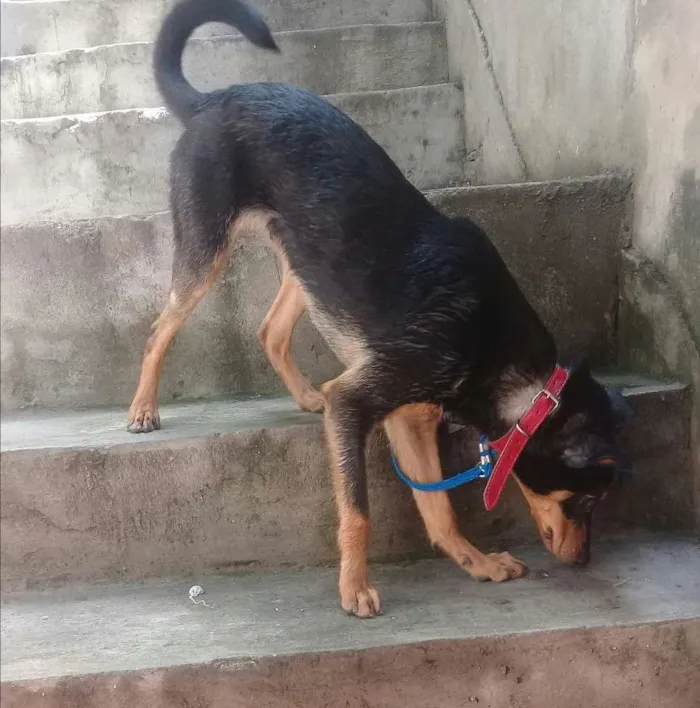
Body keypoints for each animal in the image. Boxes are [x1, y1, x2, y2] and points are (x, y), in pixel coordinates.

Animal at [129, 0, 632, 616]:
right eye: (587, 502)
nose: (583, 562)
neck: (527, 388)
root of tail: (210, 99)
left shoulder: (407, 419)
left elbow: (438, 510)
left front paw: (477, 563)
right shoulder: (359, 404)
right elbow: (359, 511)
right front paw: (354, 587)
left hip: (307, 263)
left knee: (270, 331)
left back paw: (306, 396)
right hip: (207, 248)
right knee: (160, 329)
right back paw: (143, 408)